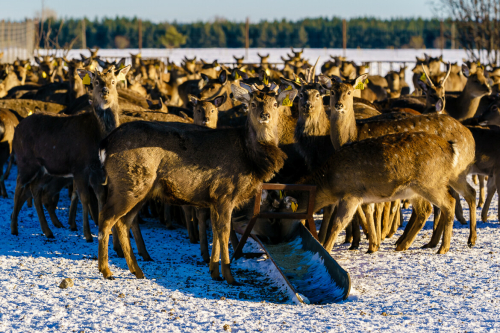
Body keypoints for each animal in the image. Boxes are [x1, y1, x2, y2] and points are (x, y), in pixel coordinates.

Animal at [94, 81, 292, 282]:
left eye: (275, 104)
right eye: (252, 104)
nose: (264, 115)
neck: (251, 158)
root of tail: (105, 144)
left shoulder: (214, 199)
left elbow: (216, 231)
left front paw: (214, 272)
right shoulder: (225, 193)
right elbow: (224, 232)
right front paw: (229, 276)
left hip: (139, 190)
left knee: (123, 222)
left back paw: (137, 270)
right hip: (128, 184)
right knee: (106, 218)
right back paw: (106, 270)